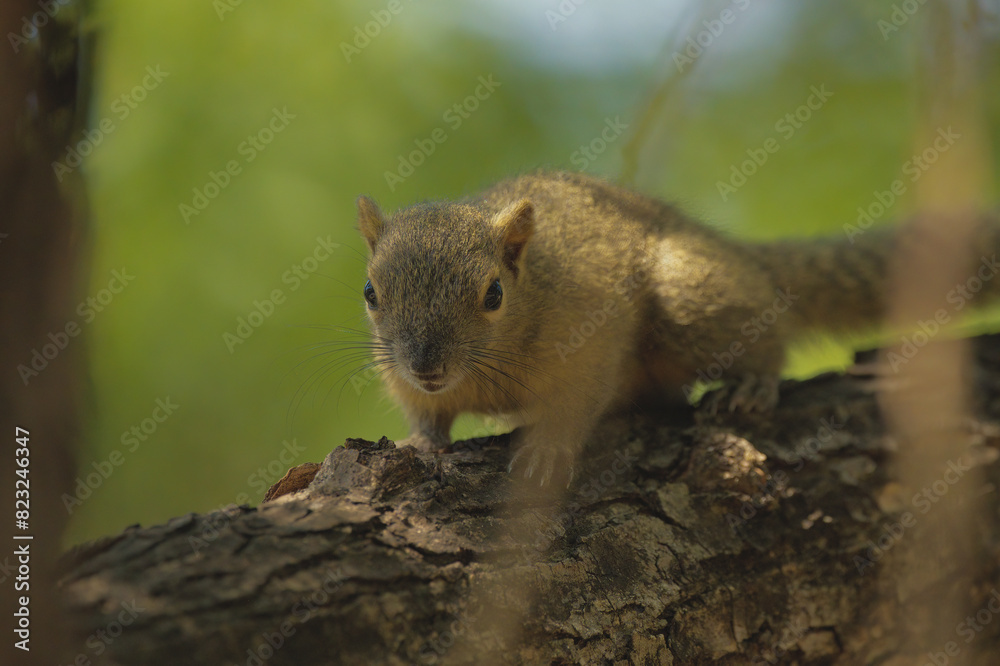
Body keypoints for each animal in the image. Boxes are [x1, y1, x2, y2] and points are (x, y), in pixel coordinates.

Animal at [355, 170, 998, 484]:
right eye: (370, 293)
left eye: (493, 294)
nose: (426, 365)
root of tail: (745, 261)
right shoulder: (408, 381)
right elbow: (425, 413)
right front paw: (422, 441)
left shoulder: (588, 340)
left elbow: (574, 404)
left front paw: (547, 450)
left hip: (692, 300)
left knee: (767, 337)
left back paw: (752, 385)